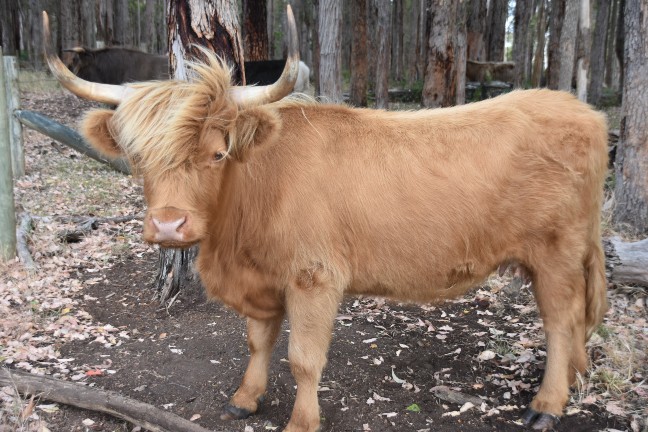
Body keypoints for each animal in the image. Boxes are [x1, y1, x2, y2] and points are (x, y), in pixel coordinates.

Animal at [44, 9, 609, 432]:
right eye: (137, 158)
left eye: (218, 153)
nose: (167, 226)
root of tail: (583, 110)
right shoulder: (262, 278)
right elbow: (258, 340)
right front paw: (245, 398)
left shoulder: (313, 277)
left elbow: (303, 358)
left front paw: (300, 421)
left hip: (557, 252)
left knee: (560, 320)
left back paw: (547, 405)